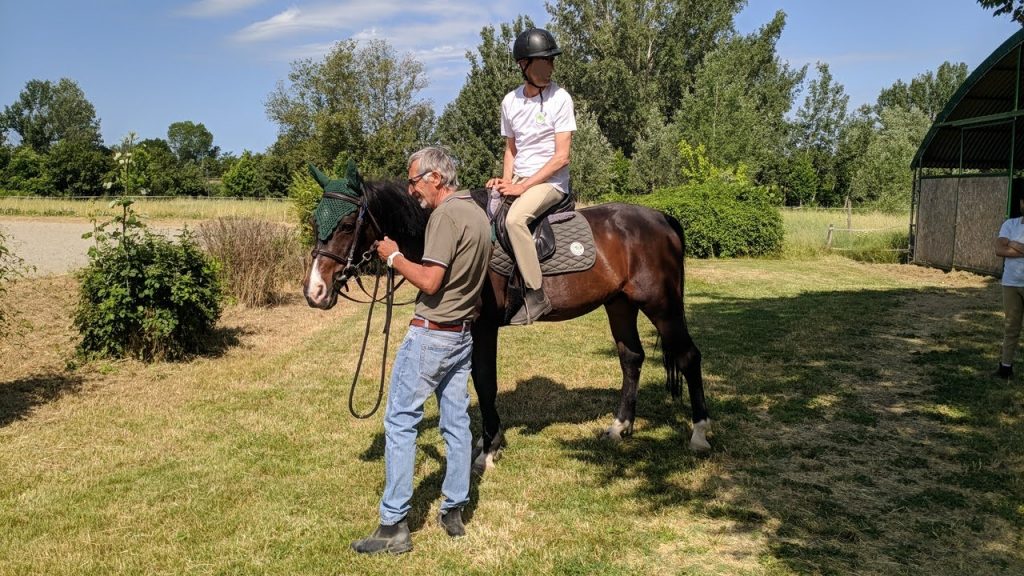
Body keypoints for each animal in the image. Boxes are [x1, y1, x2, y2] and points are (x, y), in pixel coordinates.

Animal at [299, 167, 708, 471]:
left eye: (347, 224)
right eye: (316, 221)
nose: (314, 291)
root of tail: (661, 217)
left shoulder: (483, 327)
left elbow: (485, 383)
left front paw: (489, 449)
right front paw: (487, 441)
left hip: (662, 305)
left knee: (689, 357)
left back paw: (700, 433)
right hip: (620, 304)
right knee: (631, 359)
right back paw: (619, 427)